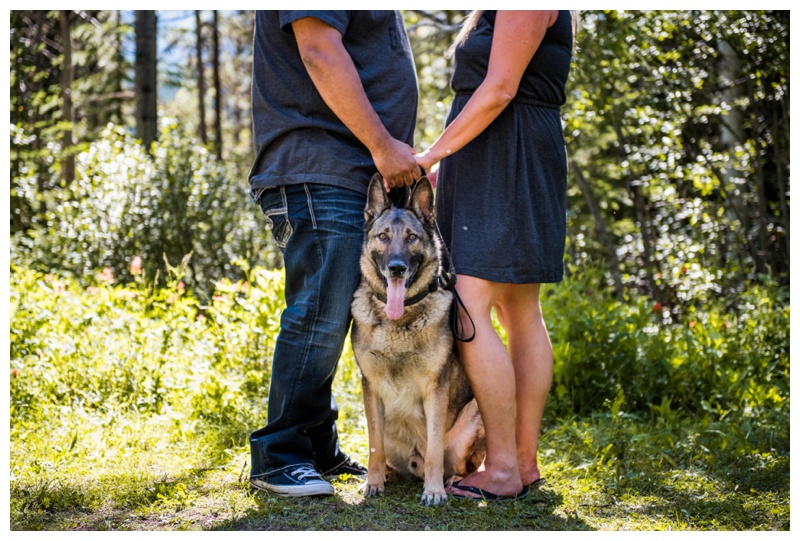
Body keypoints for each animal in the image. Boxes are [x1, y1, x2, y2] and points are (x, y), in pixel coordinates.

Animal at [352, 174, 488, 506]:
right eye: (384, 236)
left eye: (412, 237)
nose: (397, 267)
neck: (398, 322)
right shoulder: (370, 388)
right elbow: (374, 446)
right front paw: (373, 482)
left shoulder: (435, 390)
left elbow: (435, 449)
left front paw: (434, 490)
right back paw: (388, 474)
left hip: (473, 416)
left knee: (455, 465)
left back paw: (452, 481)